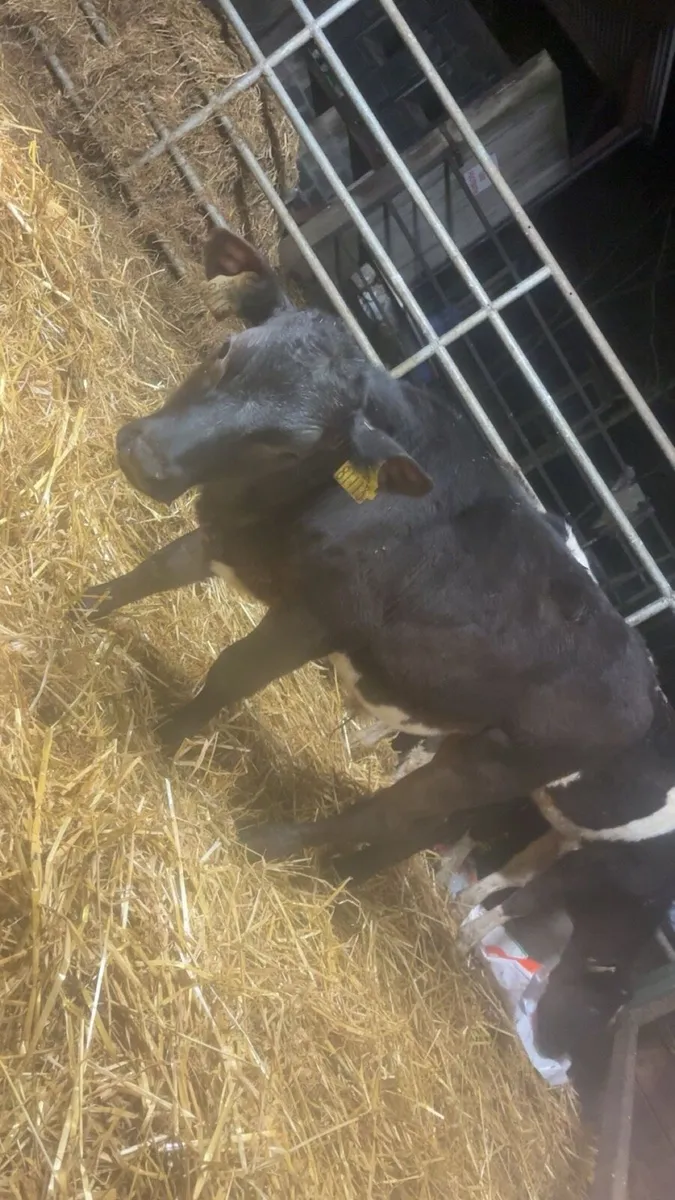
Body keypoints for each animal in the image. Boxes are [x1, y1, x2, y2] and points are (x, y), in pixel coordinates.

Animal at [74, 228, 657, 866]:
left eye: (291, 446)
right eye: (226, 349)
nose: (146, 458)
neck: (274, 509)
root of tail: (647, 684)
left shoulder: (315, 618)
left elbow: (231, 671)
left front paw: (165, 737)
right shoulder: (231, 536)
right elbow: (155, 570)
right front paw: (80, 609)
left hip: (492, 765)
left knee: (389, 812)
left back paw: (274, 842)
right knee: (423, 828)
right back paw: (348, 872)